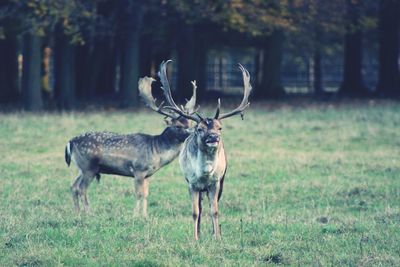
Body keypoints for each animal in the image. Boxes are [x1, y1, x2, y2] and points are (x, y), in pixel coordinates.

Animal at [64, 73, 198, 218]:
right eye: (178, 126)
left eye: (190, 124)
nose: (192, 133)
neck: (156, 151)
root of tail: (70, 142)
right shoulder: (139, 169)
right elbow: (139, 194)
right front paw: (135, 215)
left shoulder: (148, 174)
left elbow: (146, 194)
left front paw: (145, 216)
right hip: (89, 167)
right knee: (81, 188)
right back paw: (89, 213)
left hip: (81, 168)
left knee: (73, 186)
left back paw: (77, 213)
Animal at [158, 60, 252, 241]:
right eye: (199, 129)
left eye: (220, 127)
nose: (213, 137)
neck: (204, 173)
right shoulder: (191, 183)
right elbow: (195, 212)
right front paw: (195, 238)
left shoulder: (216, 182)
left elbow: (214, 210)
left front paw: (217, 237)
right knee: (200, 209)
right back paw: (200, 232)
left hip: (221, 181)